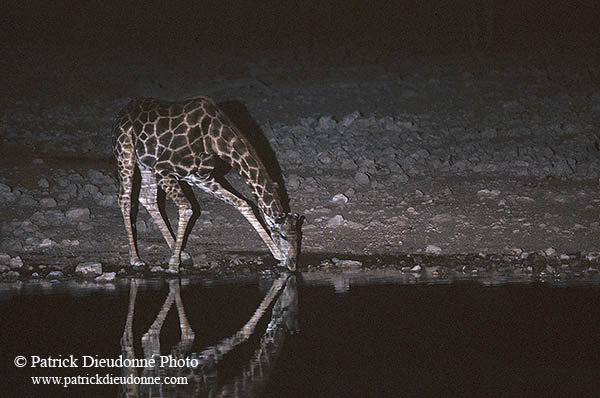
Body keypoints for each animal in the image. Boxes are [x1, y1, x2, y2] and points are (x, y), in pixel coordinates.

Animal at [111, 95, 304, 274]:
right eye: (283, 235)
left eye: (299, 235)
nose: (293, 264)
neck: (215, 139)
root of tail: (122, 112)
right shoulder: (163, 167)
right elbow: (187, 208)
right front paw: (173, 265)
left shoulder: (199, 177)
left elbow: (243, 203)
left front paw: (277, 254)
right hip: (125, 152)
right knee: (125, 199)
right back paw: (136, 260)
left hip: (146, 164)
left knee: (147, 198)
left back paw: (182, 253)